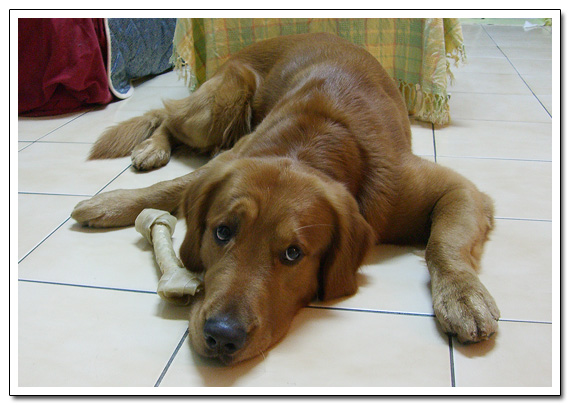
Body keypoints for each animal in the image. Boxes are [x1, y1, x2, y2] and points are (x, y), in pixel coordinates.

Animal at [71, 33, 500, 365]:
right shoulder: (234, 156)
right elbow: (173, 186)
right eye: (222, 232)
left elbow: (443, 243)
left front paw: (463, 297)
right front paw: (108, 203)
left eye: (294, 254)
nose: (221, 336)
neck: (311, 143)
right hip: (215, 108)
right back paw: (151, 147)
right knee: (165, 115)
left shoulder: (449, 188)